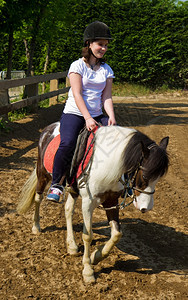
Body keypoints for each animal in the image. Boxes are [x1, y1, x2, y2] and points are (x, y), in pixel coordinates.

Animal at [16, 122, 169, 284]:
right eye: (145, 176)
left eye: (159, 178)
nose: (146, 207)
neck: (109, 163)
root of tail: (49, 128)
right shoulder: (88, 202)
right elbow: (87, 235)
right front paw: (88, 271)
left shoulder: (111, 200)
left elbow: (116, 233)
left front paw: (97, 256)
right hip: (42, 174)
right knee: (38, 198)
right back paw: (36, 227)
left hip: (73, 189)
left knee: (68, 210)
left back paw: (72, 246)